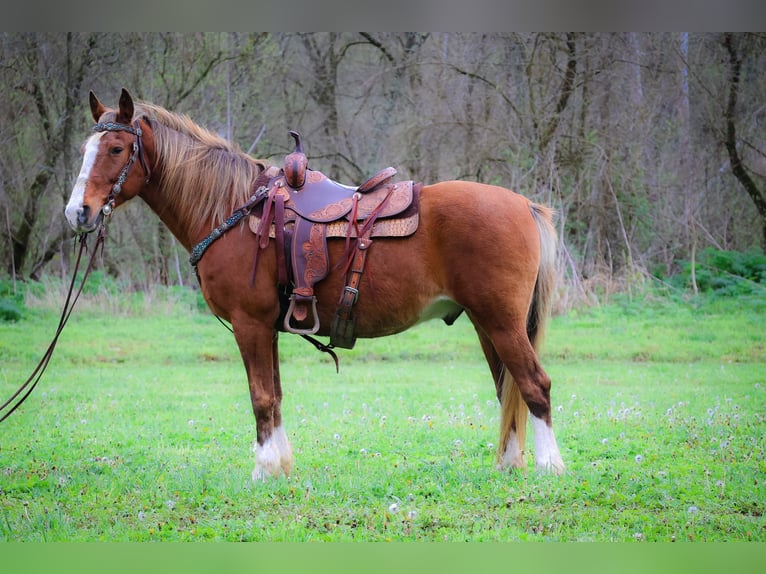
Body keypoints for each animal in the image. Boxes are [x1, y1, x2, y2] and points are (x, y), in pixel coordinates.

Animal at [66, 89, 568, 482]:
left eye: (116, 149)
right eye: (85, 149)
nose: (78, 213)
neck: (234, 209)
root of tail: (523, 205)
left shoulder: (249, 325)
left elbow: (261, 398)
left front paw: (263, 470)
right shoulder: (266, 328)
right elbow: (275, 396)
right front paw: (281, 465)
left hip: (501, 322)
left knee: (534, 385)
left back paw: (550, 467)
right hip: (488, 325)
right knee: (508, 388)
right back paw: (509, 464)